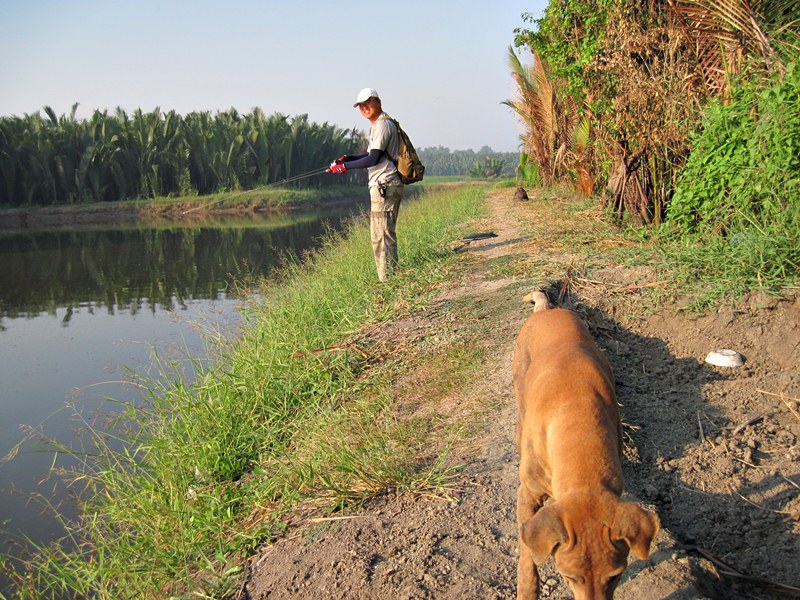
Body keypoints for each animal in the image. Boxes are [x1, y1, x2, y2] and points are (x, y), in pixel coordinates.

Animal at [516, 288, 660, 596]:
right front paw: (527, 591)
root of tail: (546, 310)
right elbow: (527, 557)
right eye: (568, 577)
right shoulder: (528, 495)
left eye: (616, 576)